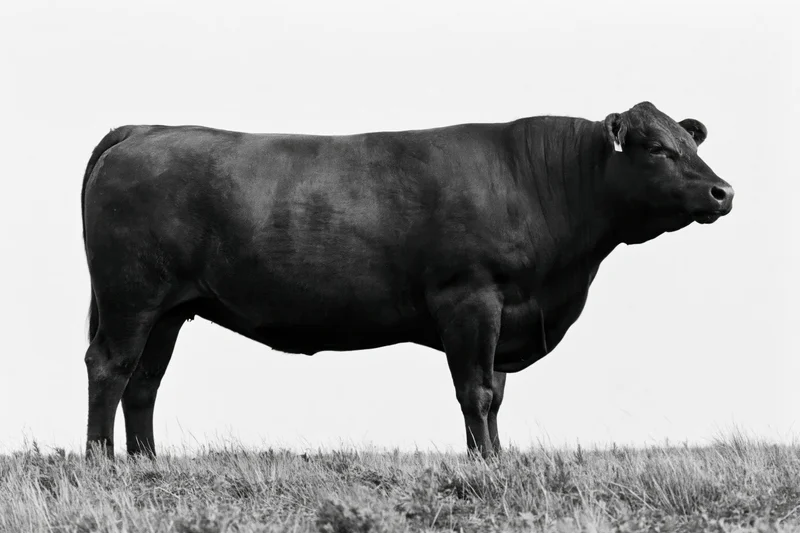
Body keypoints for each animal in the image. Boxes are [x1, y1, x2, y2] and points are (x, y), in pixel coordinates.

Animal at [81, 101, 734, 459]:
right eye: (656, 149)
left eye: (689, 141)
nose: (722, 192)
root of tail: (144, 129)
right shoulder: (470, 298)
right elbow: (475, 391)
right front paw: (484, 466)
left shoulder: (504, 310)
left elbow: (496, 394)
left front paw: (499, 458)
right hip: (130, 295)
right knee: (109, 368)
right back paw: (102, 463)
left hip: (169, 308)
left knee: (144, 382)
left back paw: (147, 465)